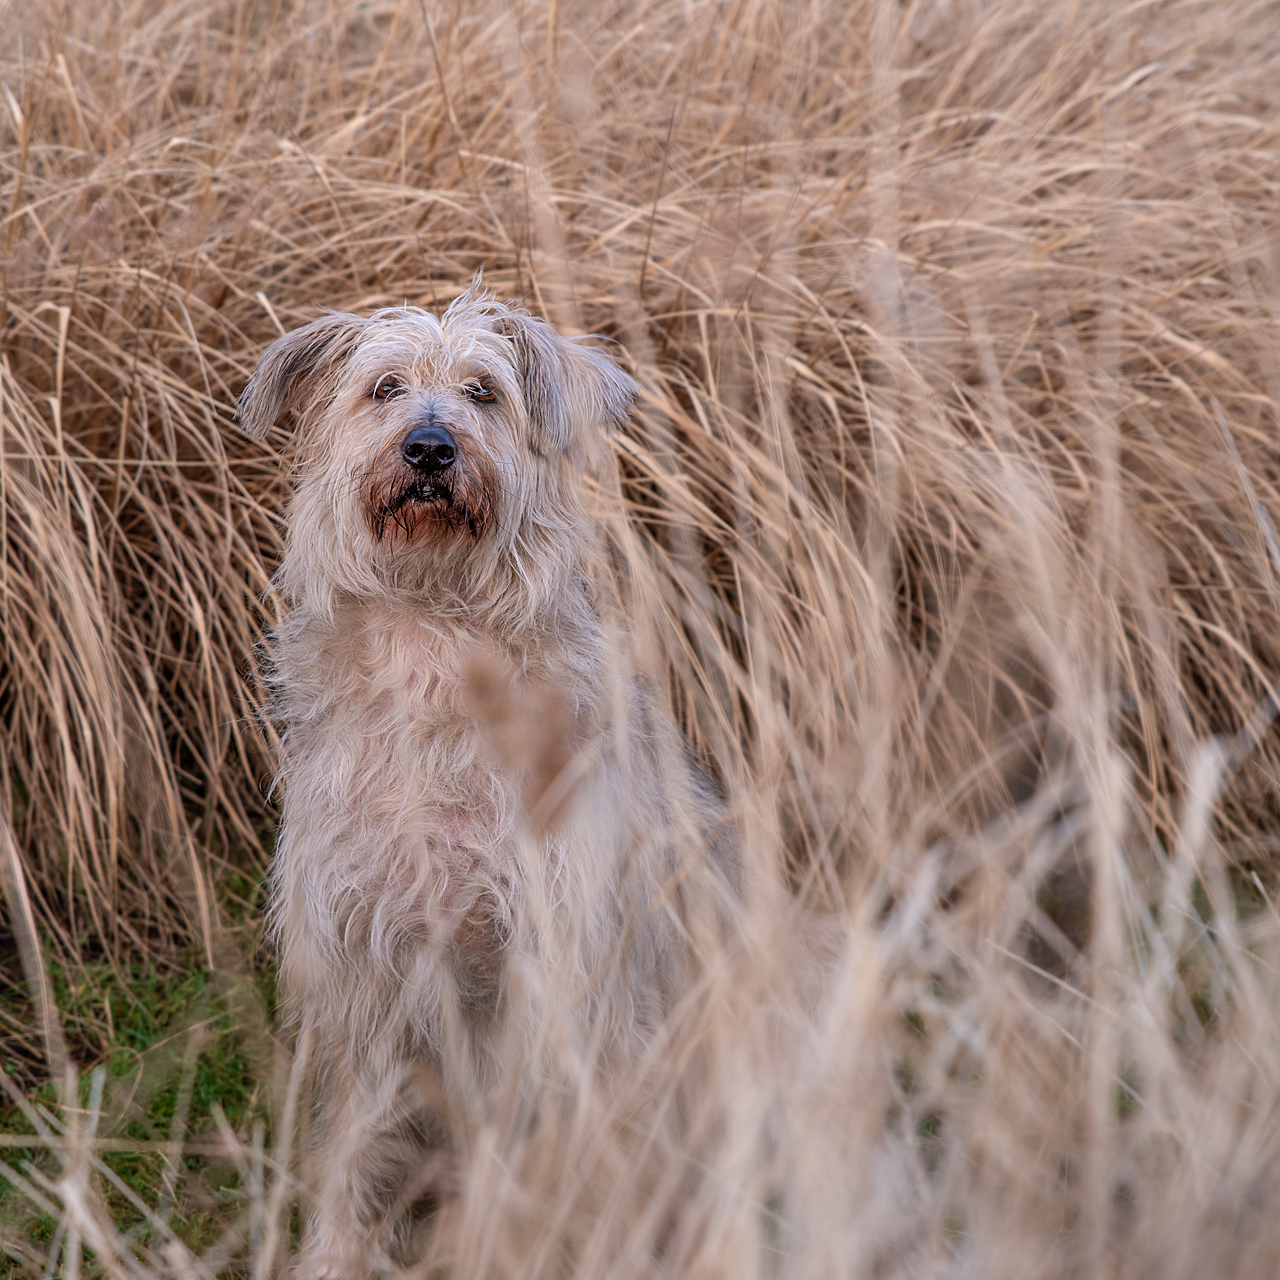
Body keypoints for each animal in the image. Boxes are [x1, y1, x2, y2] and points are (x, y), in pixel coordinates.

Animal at [235, 285, 737, 1274]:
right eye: (385, 388)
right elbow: (354, 1147)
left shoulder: (553, 967)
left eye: (483, 392)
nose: (431, 448)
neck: (434, 631)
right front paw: (332, 1258)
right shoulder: (368, 971)